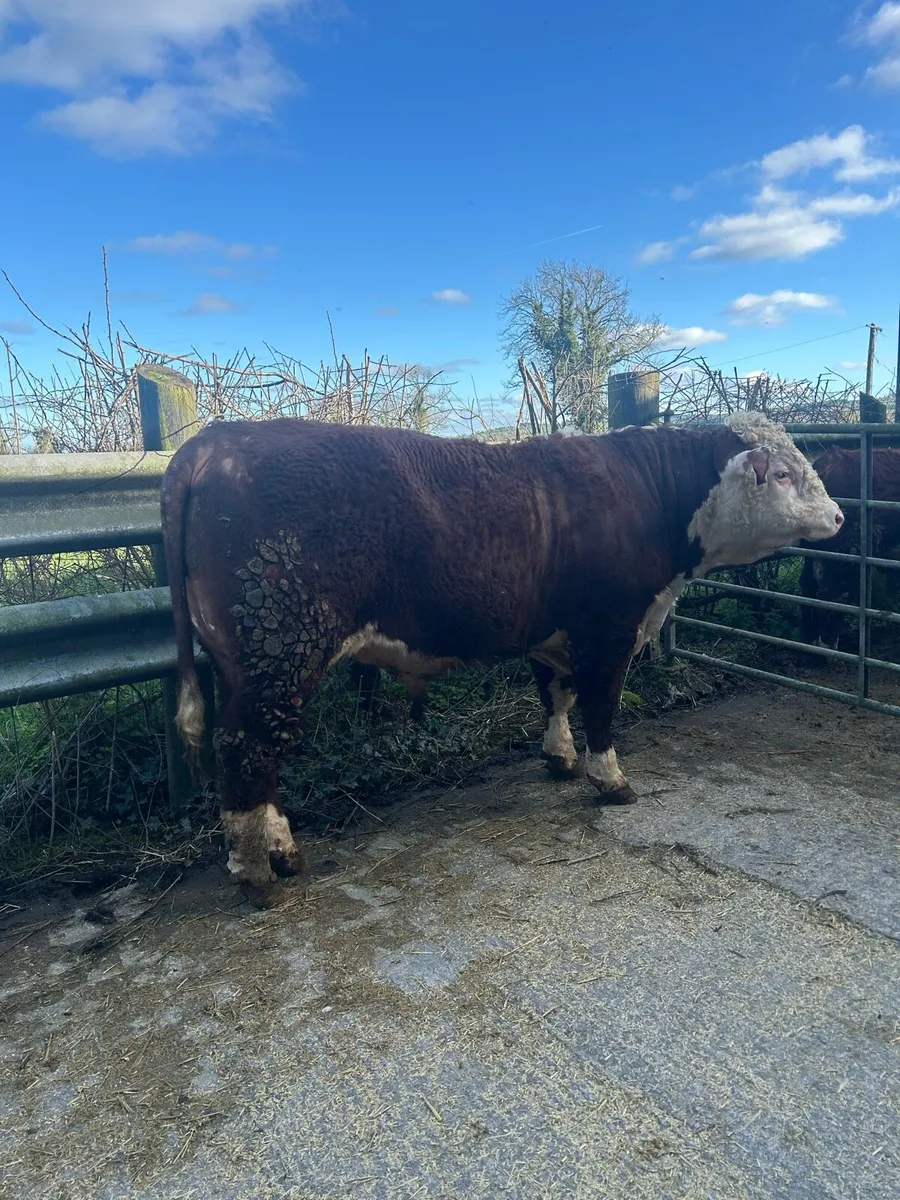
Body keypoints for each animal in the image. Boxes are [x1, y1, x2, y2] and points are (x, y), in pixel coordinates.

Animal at [160, 413, 843, 907]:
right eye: (785, 473)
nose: (838, 515)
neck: (650, 493)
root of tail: (215, 440)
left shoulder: (554, 631)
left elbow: (557, 695)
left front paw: (559, 758)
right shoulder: (609, 627)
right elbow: (601, 705)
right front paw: (610, 779)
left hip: (259, 666)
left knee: (261, 755)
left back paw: (284, 853)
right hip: (280, 647)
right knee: (246, 750)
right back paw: (256, 874)